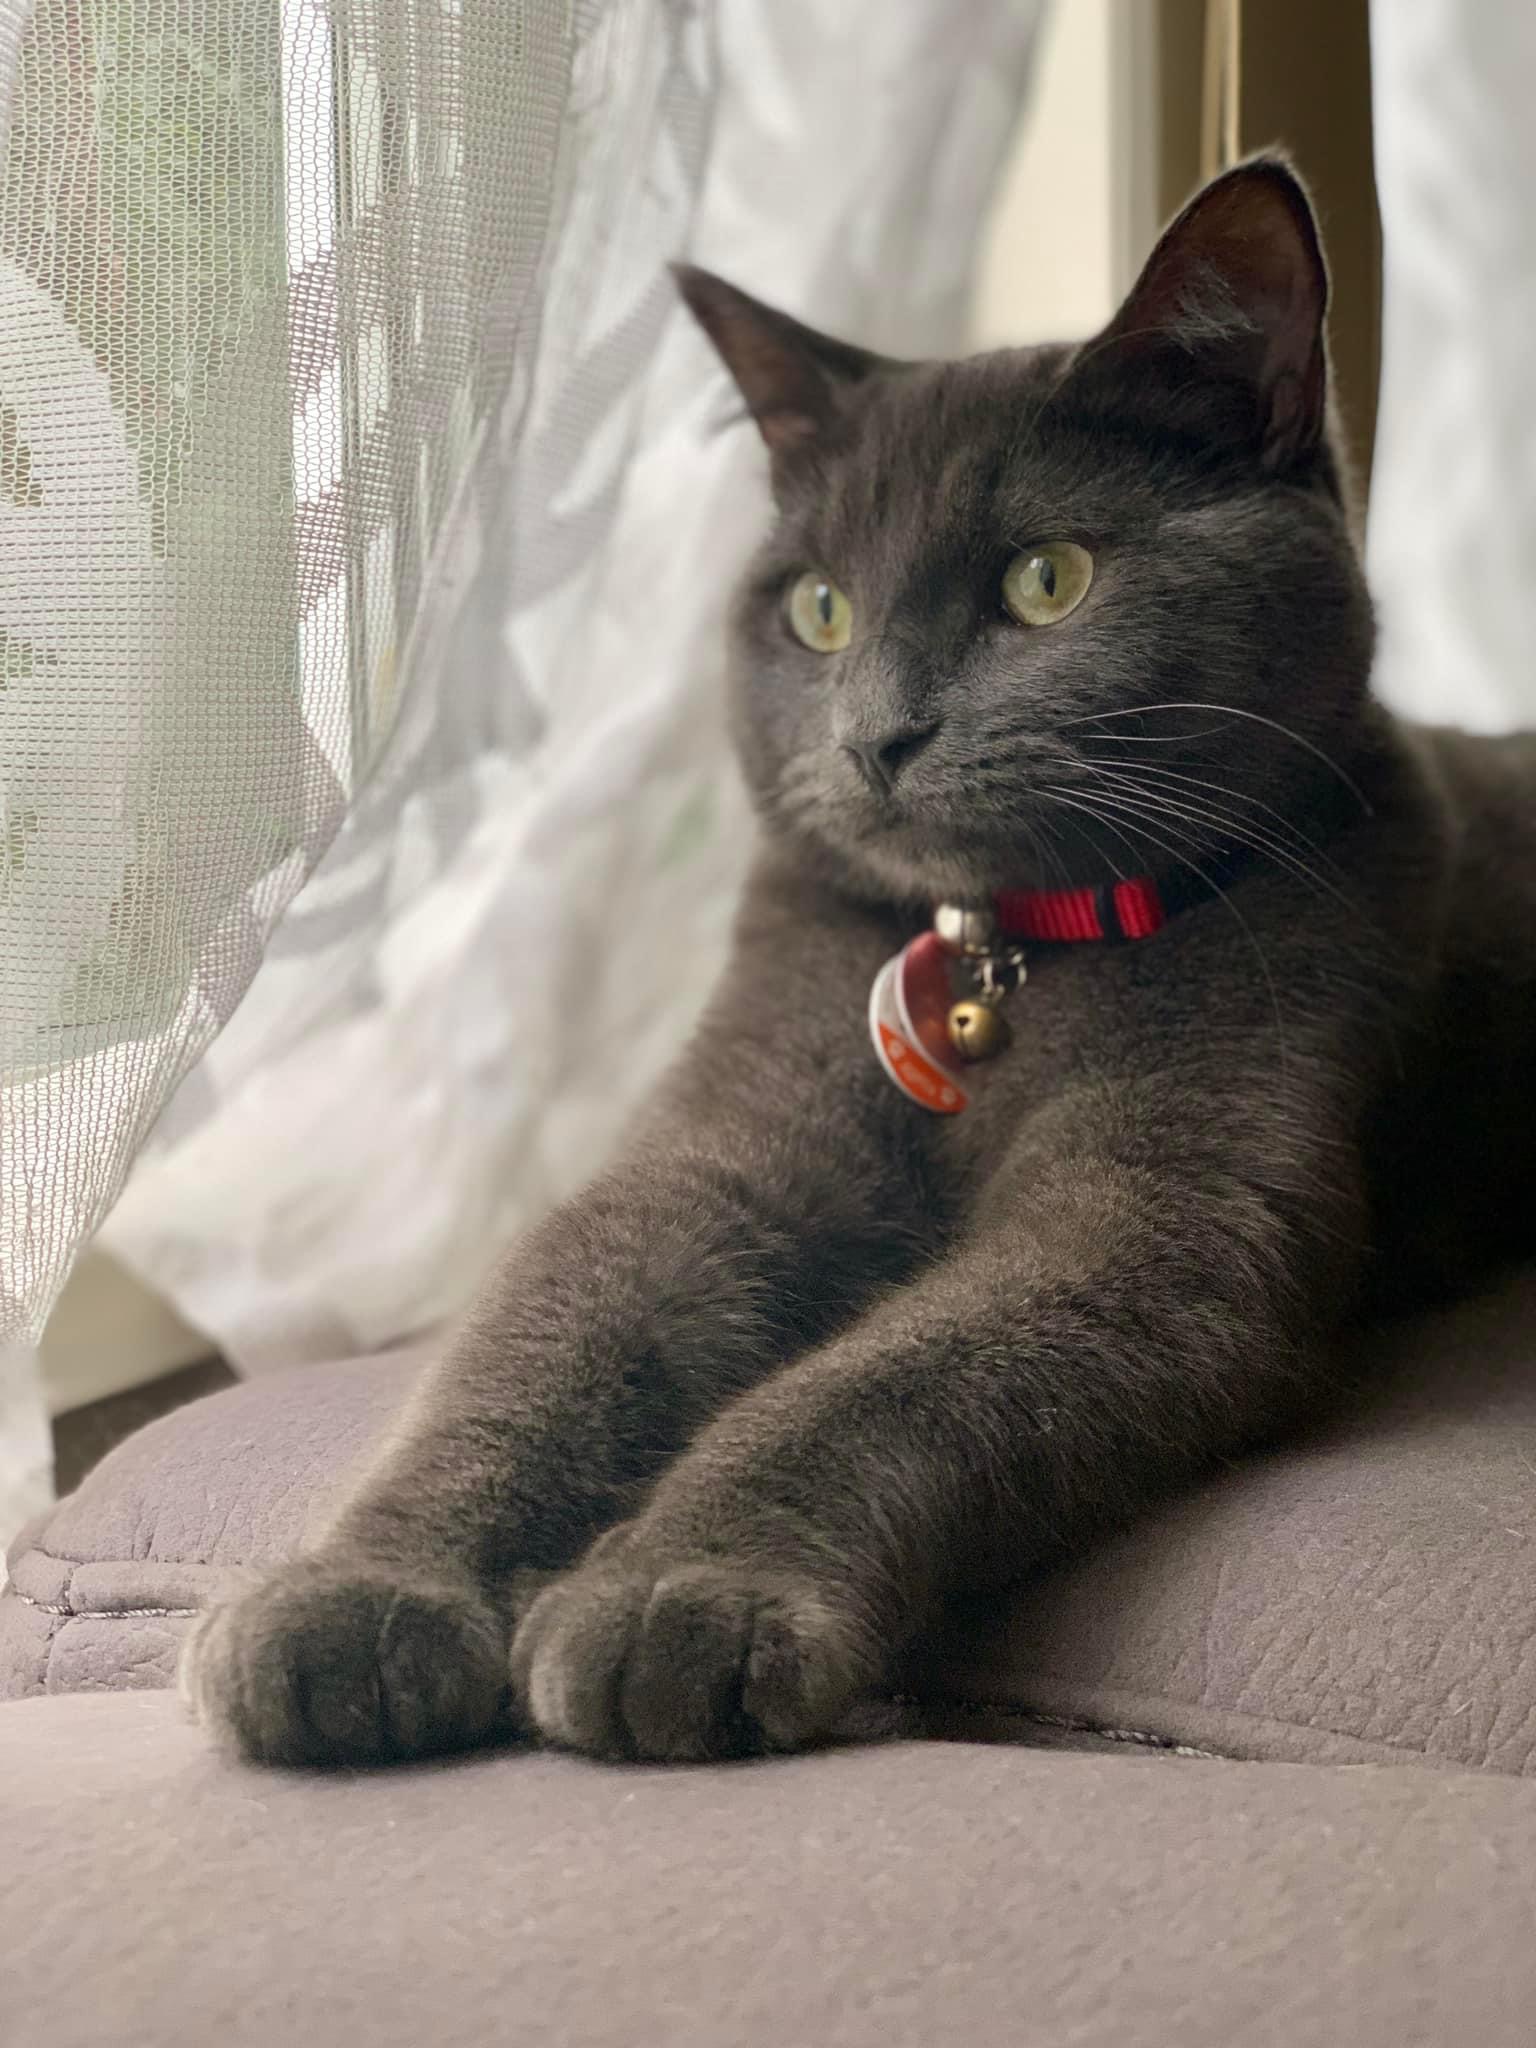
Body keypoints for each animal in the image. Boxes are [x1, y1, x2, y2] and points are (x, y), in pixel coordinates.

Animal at [184, 156, 1536, 1767]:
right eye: (818, 608)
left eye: (1048, 579)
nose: (877, 736)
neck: (996, 965)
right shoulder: (720, 1142)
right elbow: (539, 1336)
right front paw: (355, 1598)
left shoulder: (1167, 1204)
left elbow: (885, 1380)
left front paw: (678, 1595)